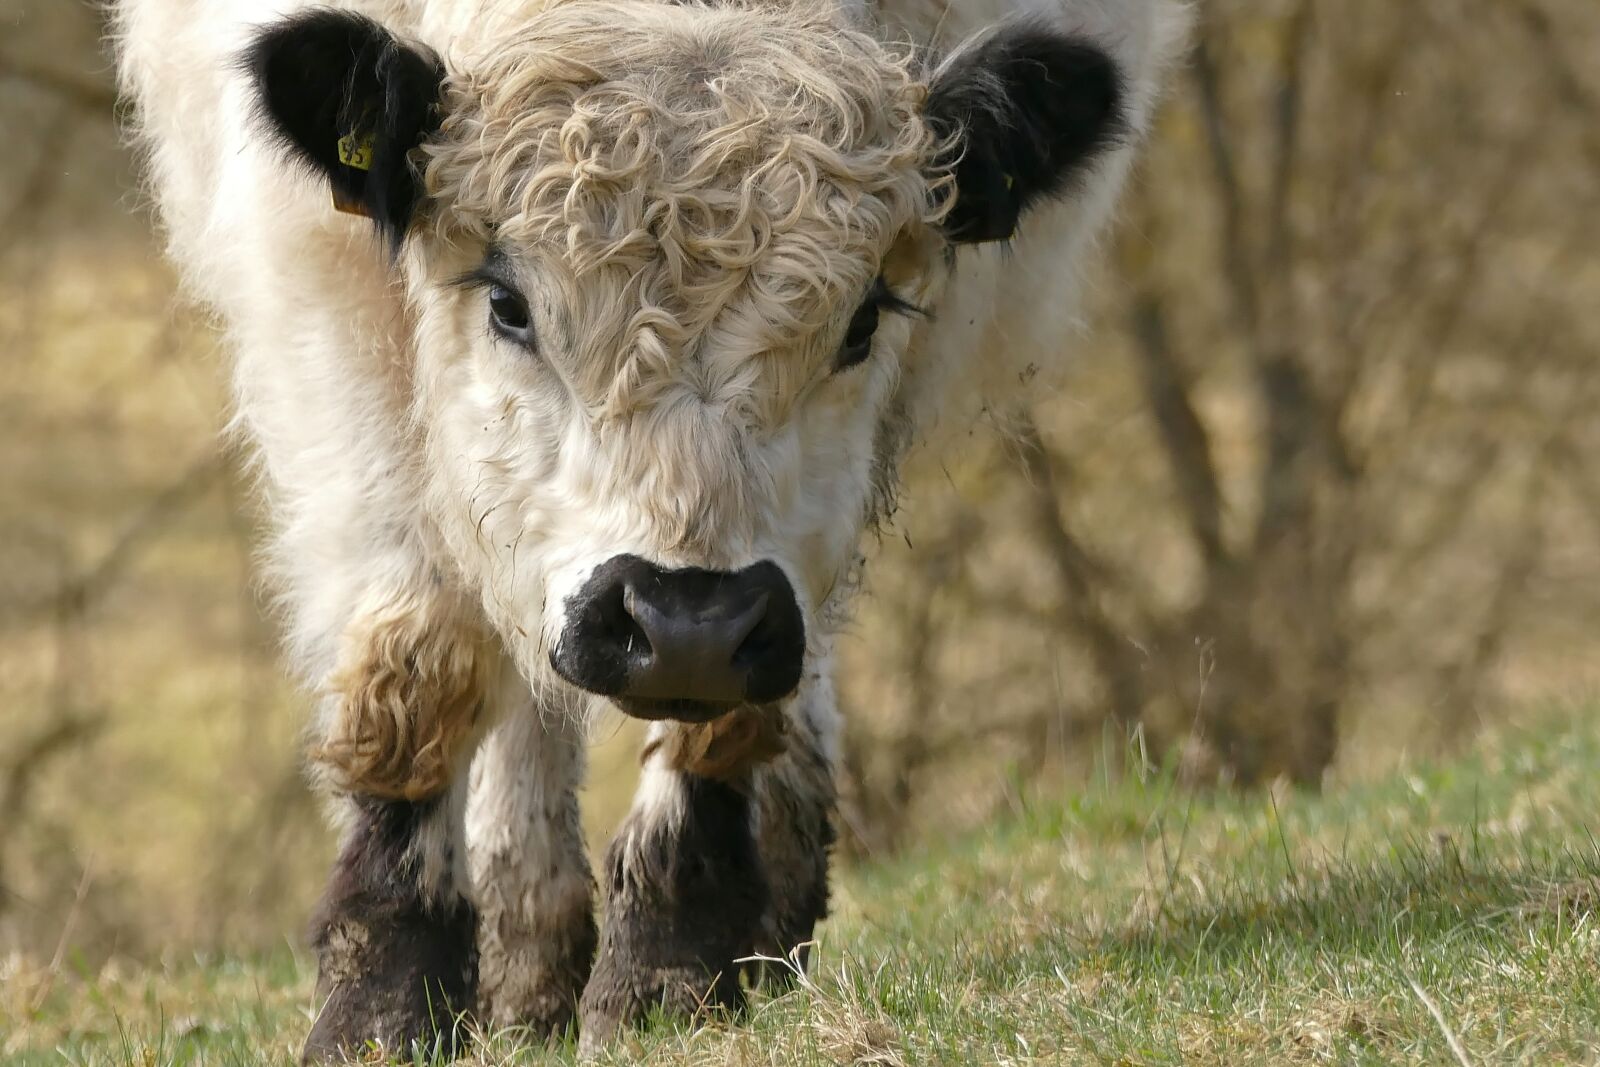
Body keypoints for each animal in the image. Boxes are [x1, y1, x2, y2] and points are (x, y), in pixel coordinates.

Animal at [113, 0, 1186, 1058]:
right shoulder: (320, 293)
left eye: (860, 324)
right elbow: (421, 658)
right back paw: (526, 951)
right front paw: (385, 1004)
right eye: (508, 304)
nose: (685, 624)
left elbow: (731, 702)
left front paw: (668, 966)